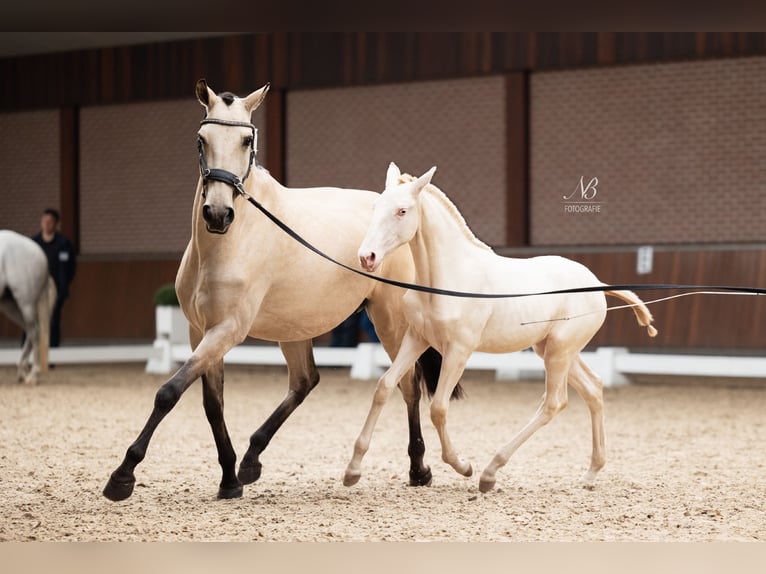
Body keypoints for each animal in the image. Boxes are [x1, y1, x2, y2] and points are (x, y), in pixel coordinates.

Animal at [0, 231, 56, 388]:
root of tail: (38, 251)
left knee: (35, 332)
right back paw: (22, 373)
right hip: (11, 305)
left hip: (26, 303)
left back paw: (32, 376)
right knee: (30, 331)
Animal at [100, 82, 456, 504]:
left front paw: (123, 475)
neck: (228, 243)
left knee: (407, 384)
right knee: (305, 381)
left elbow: (169, 392)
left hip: (389, 319)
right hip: (296, 326)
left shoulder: (228, 329)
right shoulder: (200, 331)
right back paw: (251, 460)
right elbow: (212, 404)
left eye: (246, 140)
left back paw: (419, 469)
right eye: (201, 140)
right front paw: (229, 479)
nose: (217, 214)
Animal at [344, 164, 656, 492]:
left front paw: (463, 466)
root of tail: (596, 283)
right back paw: (591, 473)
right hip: (553, 350)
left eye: (402, 211)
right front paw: (352, 471)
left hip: (560, 351)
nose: (367, 257)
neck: (448, 277)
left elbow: (439, 408)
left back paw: (490, 472)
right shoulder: (416, 339)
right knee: (593, 389)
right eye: (375, 207)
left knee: (554, 402)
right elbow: (384, 387)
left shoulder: (459, 350)